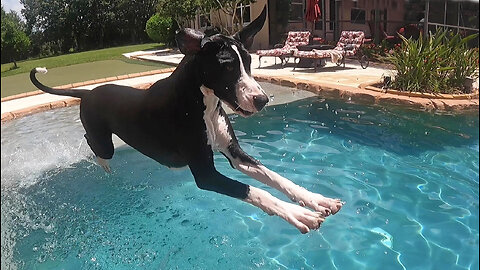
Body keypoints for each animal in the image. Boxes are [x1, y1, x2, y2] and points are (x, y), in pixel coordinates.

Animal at [30, 7, 344, 233]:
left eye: (249, 62)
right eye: (226, 66)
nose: (262, 99)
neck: (203, 103)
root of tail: (87, 92)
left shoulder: (236, 155)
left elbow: (276, 177)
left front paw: (316, 200)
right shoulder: (206, 175)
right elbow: (254, 190)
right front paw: (298, 213)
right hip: (102, 141)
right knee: (94, 145)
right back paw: (102, 164)